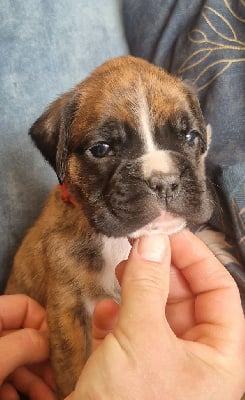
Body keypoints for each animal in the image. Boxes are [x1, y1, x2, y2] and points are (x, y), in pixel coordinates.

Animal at [5, 55, 212, 396]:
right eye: (101, 149)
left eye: (191, 137)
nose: (165, 181)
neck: (111, 239)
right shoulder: (68, 310)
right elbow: (73, 370)